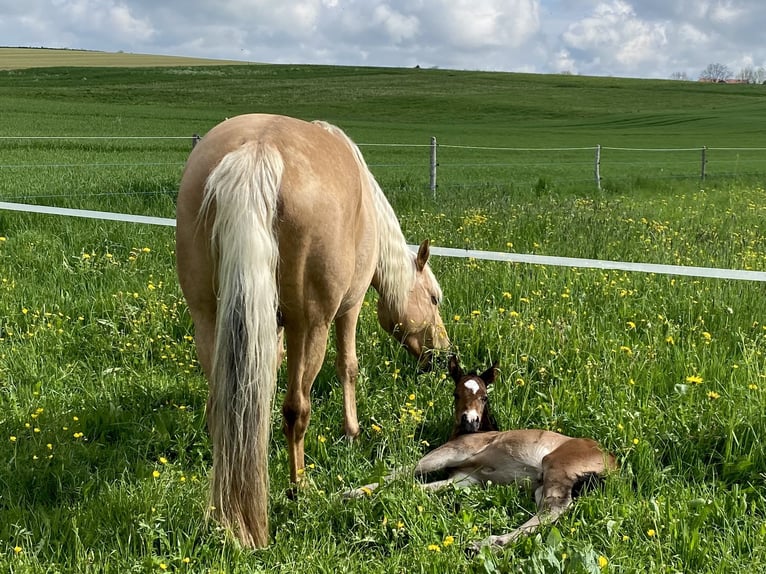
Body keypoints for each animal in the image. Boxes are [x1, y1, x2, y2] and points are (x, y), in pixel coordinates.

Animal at [175, 113, 450, 548]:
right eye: (435, 299)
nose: (443, 354)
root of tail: (258, 151)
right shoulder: (348, 309)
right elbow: (348, 367)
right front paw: (352, 432)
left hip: (208, 318)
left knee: (223, 406)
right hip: (311, 325)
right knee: (296, 410)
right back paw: (298, 488)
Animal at [346, 356, 616, 551]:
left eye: (485, 397)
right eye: (456, 394)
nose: (470, 422)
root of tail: (613, 466)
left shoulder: (454, 451)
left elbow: (406, 470)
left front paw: (351, 493)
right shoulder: (465, 479)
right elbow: (416, 488)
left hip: (558, 466)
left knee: (556, 506)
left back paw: (487, 543)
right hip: (543, 485)